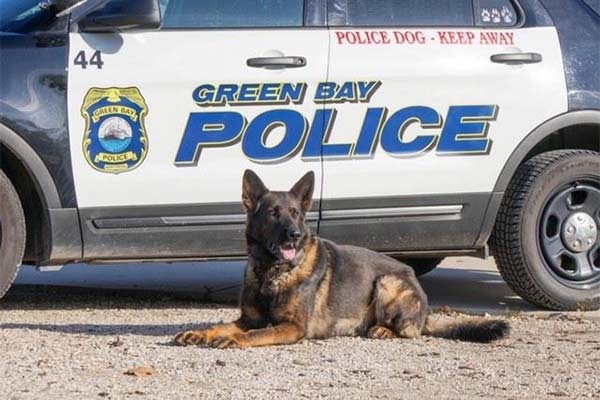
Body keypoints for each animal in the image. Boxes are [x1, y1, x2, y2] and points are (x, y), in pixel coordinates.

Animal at [172, 170, 506, 348]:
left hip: (387, 282)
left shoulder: (292, 327)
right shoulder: (247, 318)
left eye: (296, 213)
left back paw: (383, 329)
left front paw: (237, 340)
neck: (273, 272)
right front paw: (200, 333)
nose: (294, 234)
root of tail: (425, 307)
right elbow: (222, 324)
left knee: (410, 332)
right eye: (273, 213)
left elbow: (259, 332)